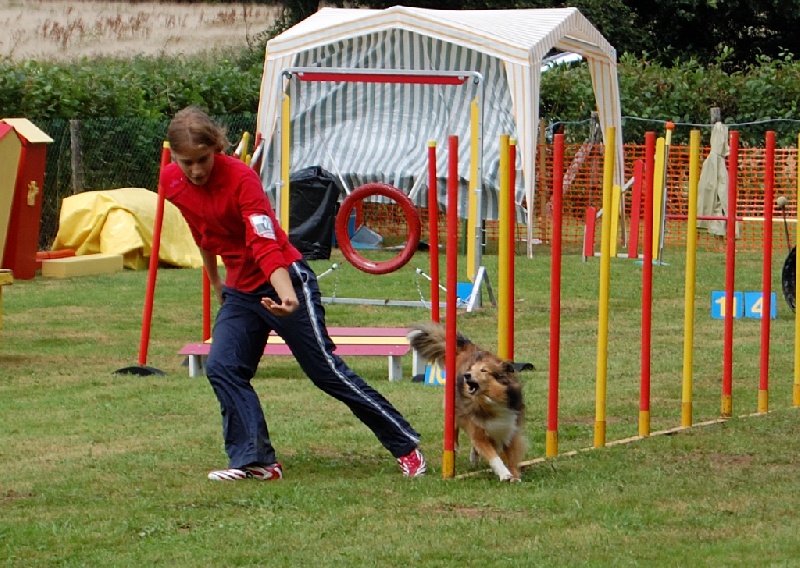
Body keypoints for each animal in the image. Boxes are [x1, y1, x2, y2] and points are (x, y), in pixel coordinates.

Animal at [406, 324, 524, 480]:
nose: (467, 376)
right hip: (454, 406)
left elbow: (511, 454)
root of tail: (469, 349)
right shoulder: (477, 428)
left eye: (484, 370)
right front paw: (505, 474)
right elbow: (493, 456)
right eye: (471, 370)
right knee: (454, 427)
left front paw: (515, 475)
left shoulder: (510, 426)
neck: (490, 400)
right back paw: (454, 448)